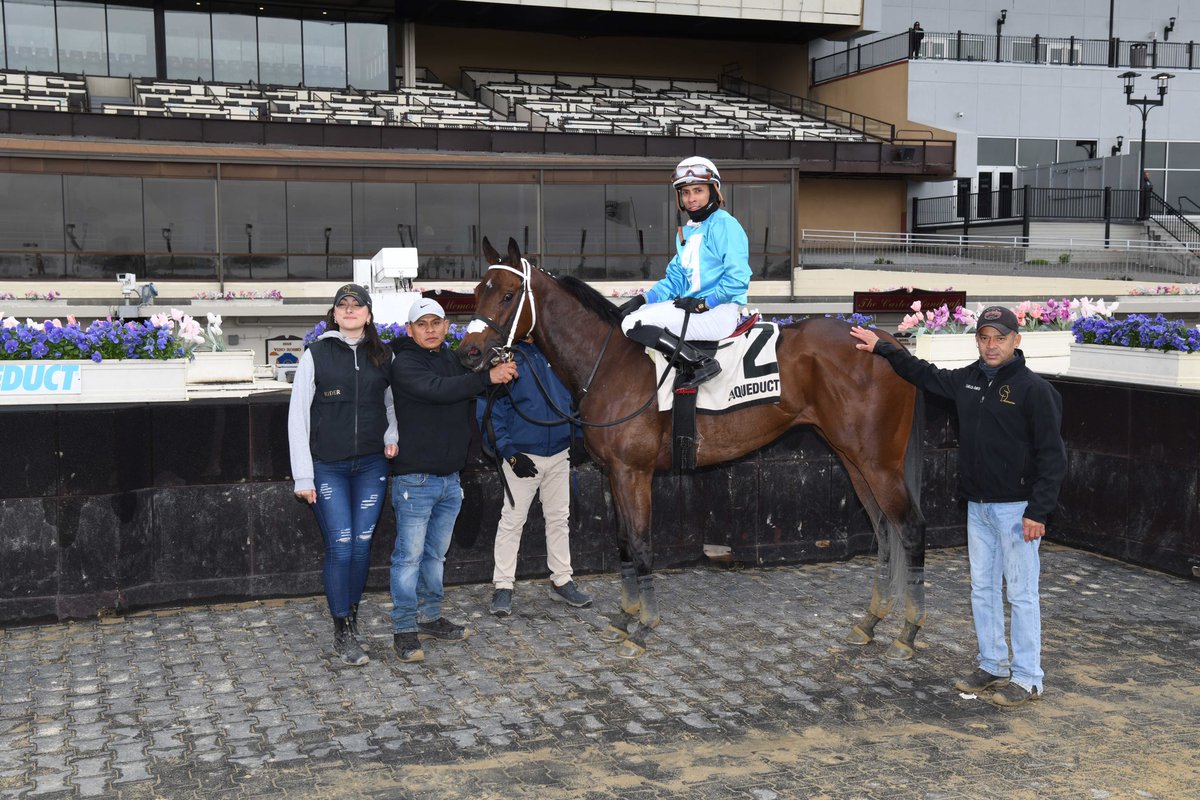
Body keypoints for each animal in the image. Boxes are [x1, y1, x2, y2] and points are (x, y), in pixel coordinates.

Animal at [458, 235, 926, 662]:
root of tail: (884, 340)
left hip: (878, 462)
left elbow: (642, 543)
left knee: (909, 527)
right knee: (883, 529)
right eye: (477, 292)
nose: (469, 352)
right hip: (853, 458)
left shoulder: (634, 471)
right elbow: (623, 541)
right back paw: (871, 621)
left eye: (508, 294)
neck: (609, 363)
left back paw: (908, 631)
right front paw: (625, 617)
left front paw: (644, 626)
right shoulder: (613, 472)